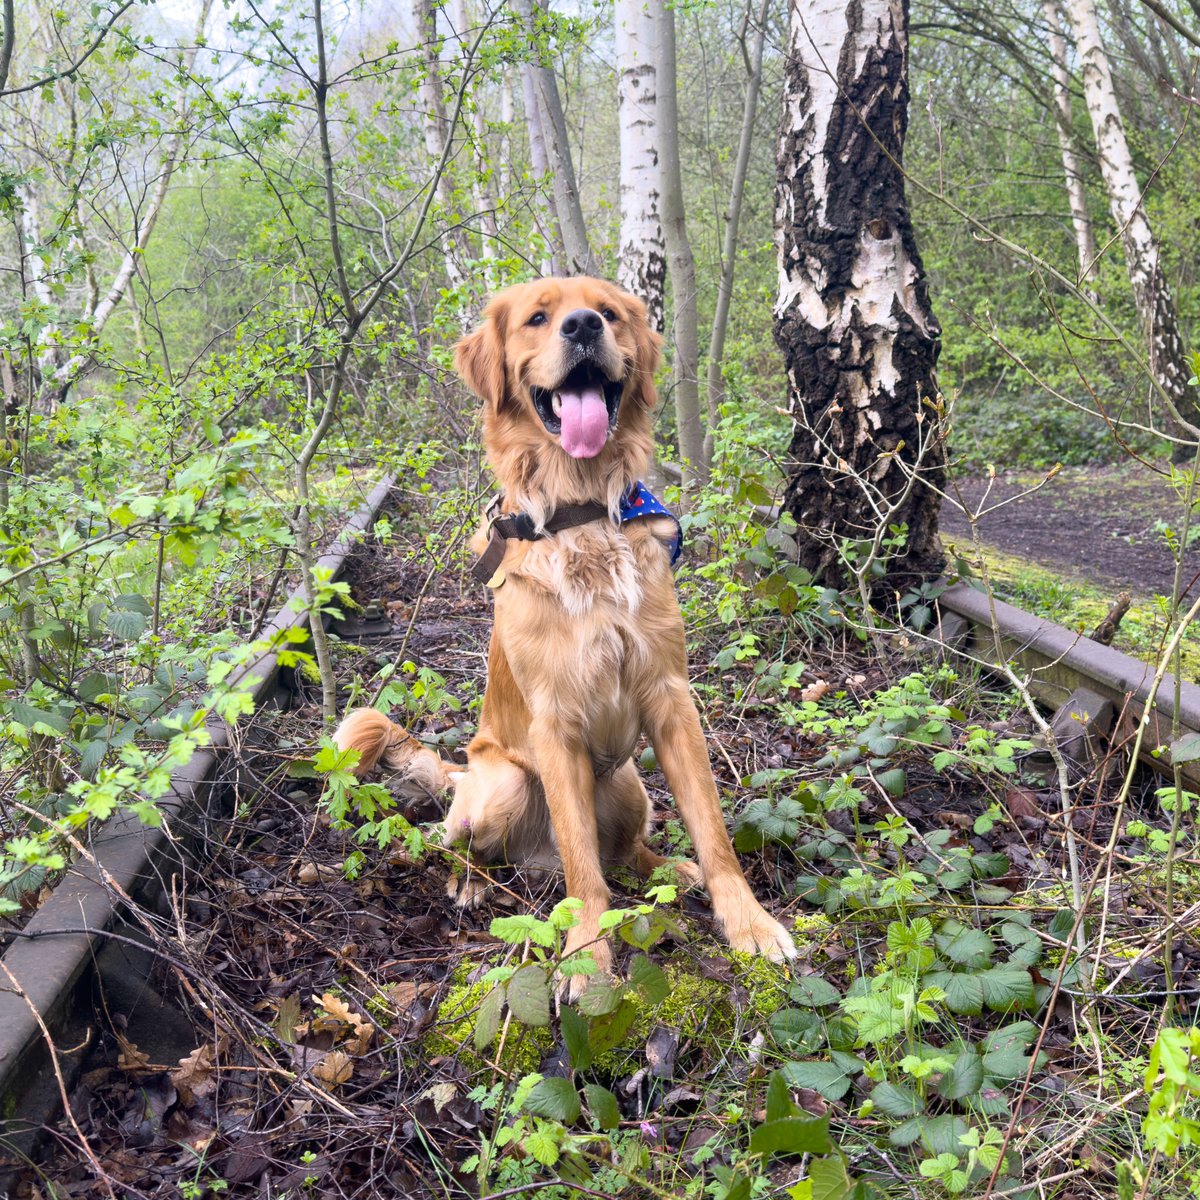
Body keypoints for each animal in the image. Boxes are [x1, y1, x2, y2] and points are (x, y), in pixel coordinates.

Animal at [333, 278, 792, 984]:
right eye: (537, 318)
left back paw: (669, 868)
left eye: (608, 313)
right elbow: (582, 867)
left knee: (626, 852)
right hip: (502, 783)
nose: (581, 327)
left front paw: (749, 922)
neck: (582, 514)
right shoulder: (554, 725)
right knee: (467, 846)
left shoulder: (670, 698)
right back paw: (471, 883)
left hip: (630, 784)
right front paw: (586, 957)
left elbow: (713, 832)